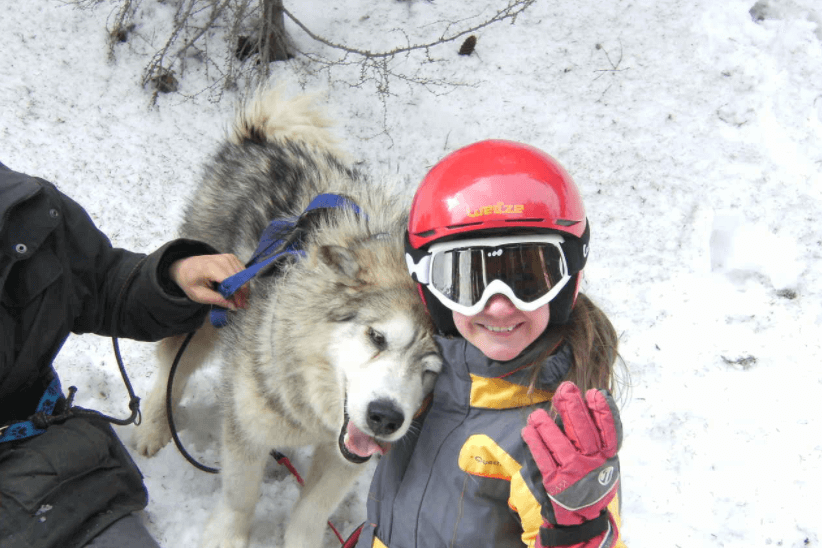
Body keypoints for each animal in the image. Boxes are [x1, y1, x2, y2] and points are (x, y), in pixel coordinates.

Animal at [135, 89, 444, 548]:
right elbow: (241, 496)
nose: (385, 418)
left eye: (432, 369)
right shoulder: (248, 425)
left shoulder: (344, 456)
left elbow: (311, 512)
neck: (313, 411)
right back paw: (154, 429)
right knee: (173, 370)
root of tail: (261, 139)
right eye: (376, 337)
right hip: (203, 310)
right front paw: (226, 537)